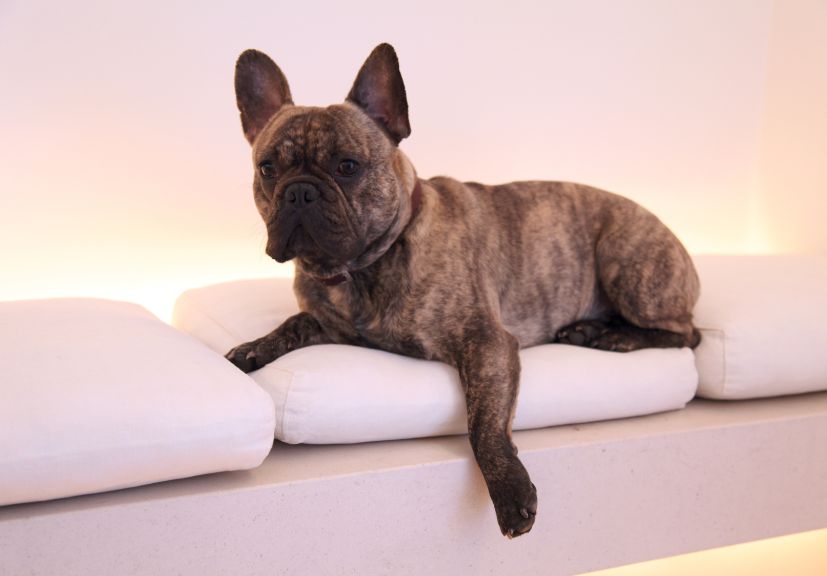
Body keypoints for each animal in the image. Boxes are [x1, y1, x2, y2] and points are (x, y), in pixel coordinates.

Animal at [226, 42, 700, 536]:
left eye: (348, 166)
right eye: (267, 168)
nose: (299, 191)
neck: (361, 270)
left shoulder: (487, 343)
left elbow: (484, 426)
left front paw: (511, 491)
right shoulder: (328, 324)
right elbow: (293, 323)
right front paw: (252, 347)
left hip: (624, 259)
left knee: (686, 333)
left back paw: (612, 337)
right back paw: (589, 330)